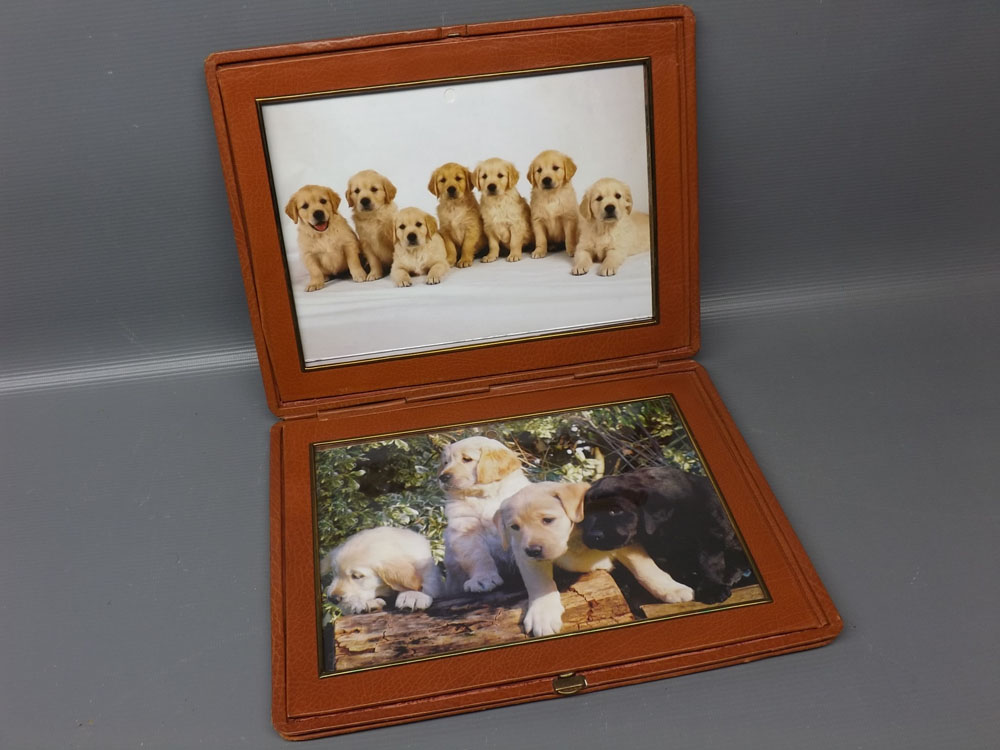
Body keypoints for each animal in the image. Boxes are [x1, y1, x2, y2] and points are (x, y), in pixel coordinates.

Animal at [438, 438, 532, 596]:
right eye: (446, 462)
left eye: (467, 459)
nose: (443, 477)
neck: (484, 496)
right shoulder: (465, 531)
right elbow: (479, 557)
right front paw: (482, 579)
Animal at [580, 464, 752, 604]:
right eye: (586, 515)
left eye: (615, 511)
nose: (593, 536)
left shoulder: (708, 530)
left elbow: (709, 562)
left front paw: (712, 589)